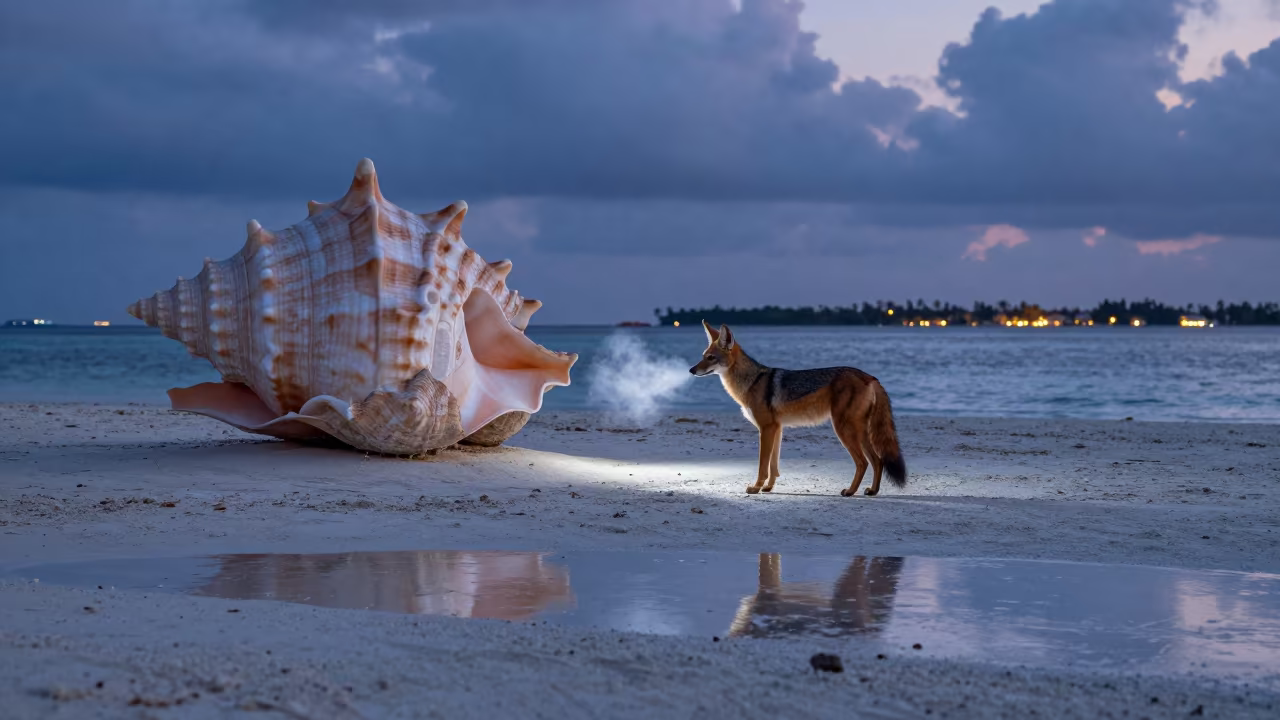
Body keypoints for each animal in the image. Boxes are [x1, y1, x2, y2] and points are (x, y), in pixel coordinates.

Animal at [689, 321, 906, 496]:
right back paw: (872, 491)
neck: (752, 381)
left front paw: (756, 487)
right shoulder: (777, 429)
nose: (691, 370)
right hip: (860, 433)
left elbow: (763, 465)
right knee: (878, 461)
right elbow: (773, 465)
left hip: (844, 430)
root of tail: (870, 376)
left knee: (863, 462)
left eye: (711, 358)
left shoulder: (766, 429)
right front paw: (768, 487)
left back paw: (850, 491)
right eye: (703, 356)